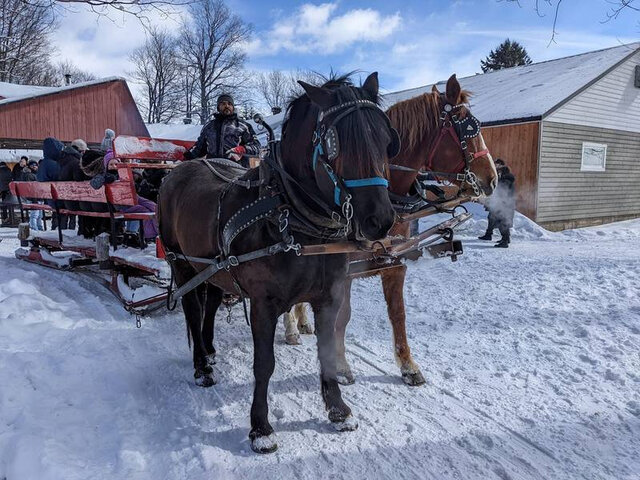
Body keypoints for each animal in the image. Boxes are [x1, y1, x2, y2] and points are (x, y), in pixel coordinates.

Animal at [157, 72, 399, 453]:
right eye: (337, 144)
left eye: (387, 140)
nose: (381, 220)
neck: (294, 218)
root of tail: (177, 171)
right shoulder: (263, 303)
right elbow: (264, 363)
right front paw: (260, 428)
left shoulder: (329, 296)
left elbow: (327, 351)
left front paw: (339, 411)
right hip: (181, 263)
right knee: (193, 310)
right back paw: (202, 368)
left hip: (213, 267)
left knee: (212, 301)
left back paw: (209, 351)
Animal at [284, 74, 498, 386]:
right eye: (468, 126)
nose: (492, 179)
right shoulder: (343, 271)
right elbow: (343, 316)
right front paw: (341, 365)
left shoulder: (395, 262)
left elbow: (398, 313)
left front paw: (408, 365)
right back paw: (290, 328)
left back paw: (301, 322)